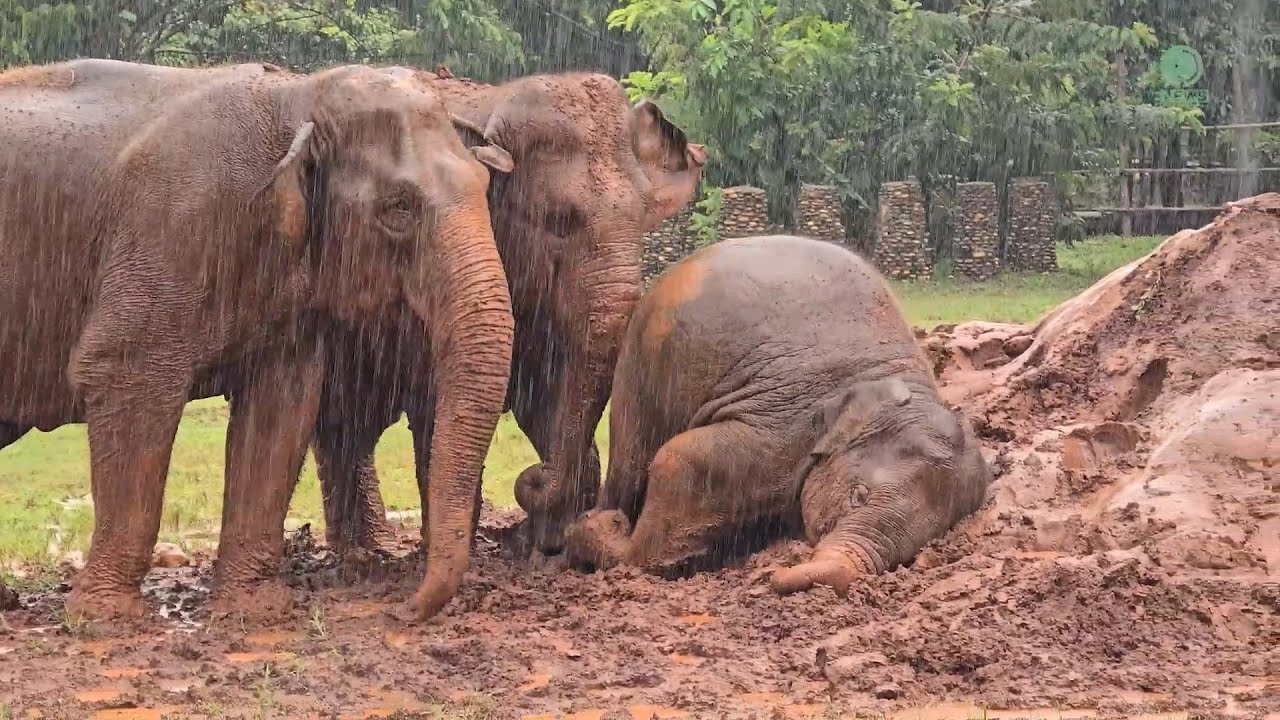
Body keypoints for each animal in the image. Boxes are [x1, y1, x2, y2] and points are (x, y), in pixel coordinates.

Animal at [0, 59, 515, 621]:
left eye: (485, 184)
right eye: (398, 209)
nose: (402, 609)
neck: (296, 99)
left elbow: (281, 403)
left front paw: (254, 610)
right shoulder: (169, 231)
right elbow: (125, 371)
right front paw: (105, 618)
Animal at [312, 70, 707, 556]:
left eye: (644, 218)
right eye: (558, 220)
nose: (531, 479)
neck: (495, 100)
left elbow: (547, 396)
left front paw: (545, 542)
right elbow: (437, 402)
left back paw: (369, 546)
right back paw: (363, 552)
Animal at [562, 235, 991, 594]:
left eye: (924, 543)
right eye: (859, 496)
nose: (771, 574)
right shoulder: (783, 425)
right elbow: (680, 461)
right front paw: (600, 530)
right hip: (638, 366)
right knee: (633, 457)